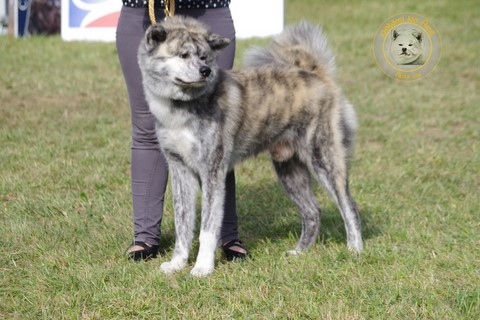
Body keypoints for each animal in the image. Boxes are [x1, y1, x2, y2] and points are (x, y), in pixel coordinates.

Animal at [137, 16, 362, 276]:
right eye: (183, 55)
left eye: (204, 57)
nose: (206, 71)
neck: (183, 107)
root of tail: (316, 74)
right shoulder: (179, 169)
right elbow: (182, 224)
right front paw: (177, 263)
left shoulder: (212, 171)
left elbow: (207, 228)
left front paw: (202, 268)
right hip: (289, 170)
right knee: (312, 211)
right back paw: (299, 252)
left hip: (324, 158)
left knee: (348, 206)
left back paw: (355, 249)